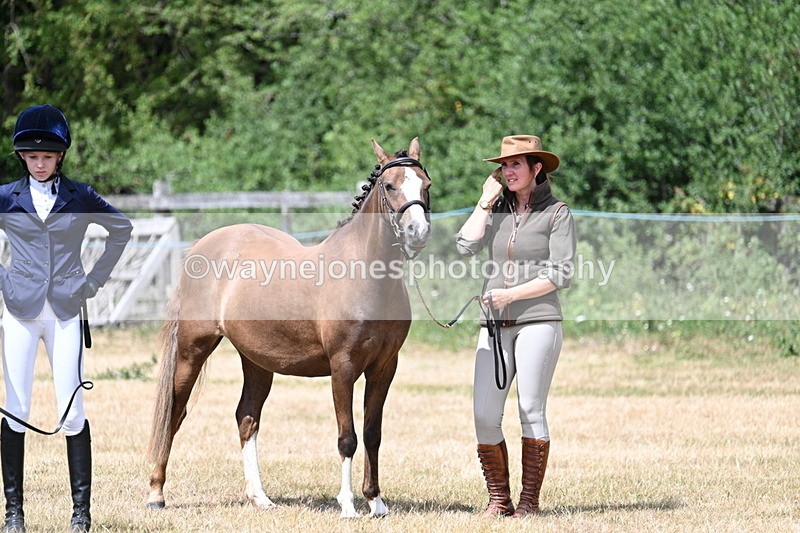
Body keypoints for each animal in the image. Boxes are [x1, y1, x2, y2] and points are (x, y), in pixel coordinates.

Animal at [146, 138, 431, 517]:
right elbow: (348, 437)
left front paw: (376, 502)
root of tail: (200, 247)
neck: (365, 275)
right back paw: (156, 493)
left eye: (426, 185)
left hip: (256, 360)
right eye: (389, 185)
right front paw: (347, 504)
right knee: (175, 413)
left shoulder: (384, 367)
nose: (418, 233)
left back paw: (260, 497)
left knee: (246, 418)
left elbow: (373, 433)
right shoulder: (343, 367)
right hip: (193, 349)